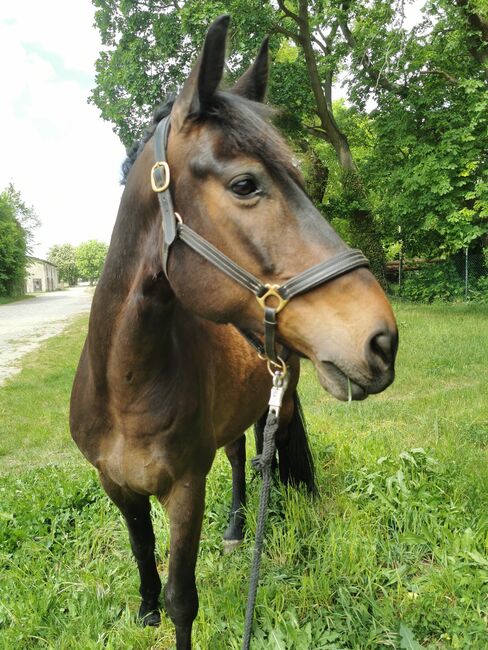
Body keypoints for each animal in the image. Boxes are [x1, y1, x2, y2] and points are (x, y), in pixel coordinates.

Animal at [68, 15, 396, 648]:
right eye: (246, 185)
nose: (382, 340)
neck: (124, 387)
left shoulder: (185, 488)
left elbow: (182, 599)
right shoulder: (117, 486)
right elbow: (143, 555)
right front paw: (144, 607)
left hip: (283, 401)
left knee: (269, 454)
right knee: (243, 455)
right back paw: (239, 527)